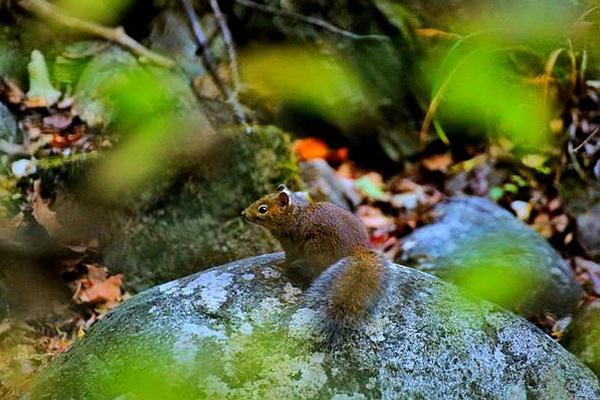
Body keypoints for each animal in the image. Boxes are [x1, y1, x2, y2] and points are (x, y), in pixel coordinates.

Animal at [243, 184, 390, 340]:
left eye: (263, 209)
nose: (243, 213)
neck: (293, 215)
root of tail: (357, 251)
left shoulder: (291, 245)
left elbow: (288, 259)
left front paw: (279, 266)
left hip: (315, 249)